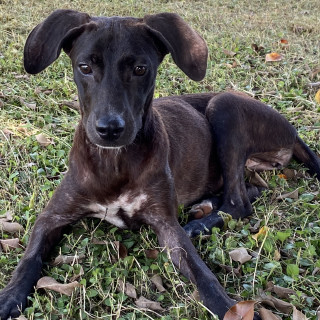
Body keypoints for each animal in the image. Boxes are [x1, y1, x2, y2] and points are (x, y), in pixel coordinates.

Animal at [0, 8, 318, 318]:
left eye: (141, 69)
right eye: (85, 67)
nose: (109, 129)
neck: (114, 162)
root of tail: (293, 132)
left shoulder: (166, 224)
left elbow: (202, 274)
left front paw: (227, 307)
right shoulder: (52, 216)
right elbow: (29, 258)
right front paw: (10, 297)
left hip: (225, 107)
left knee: (238, 202)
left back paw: (199, 224)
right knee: (250, 190)